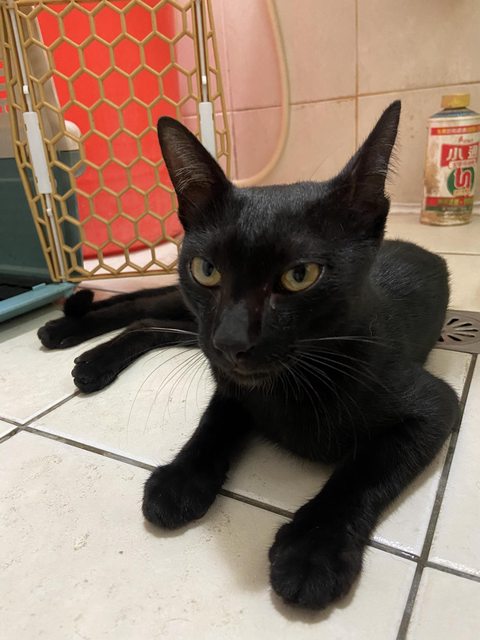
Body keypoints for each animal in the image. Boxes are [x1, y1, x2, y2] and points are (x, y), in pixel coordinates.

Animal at [38, 101, 459, 610]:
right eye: (206, 270)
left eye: (300, 275)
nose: (231, 341)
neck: (293, 385)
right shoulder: (230, 381)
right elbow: (214, 423)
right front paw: (182, 478)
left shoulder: (434, 406)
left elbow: (363, 470)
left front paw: (312, 551)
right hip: (190, 319)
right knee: (140, 308)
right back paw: (66, 334)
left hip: (194, 332)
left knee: (146, 321)